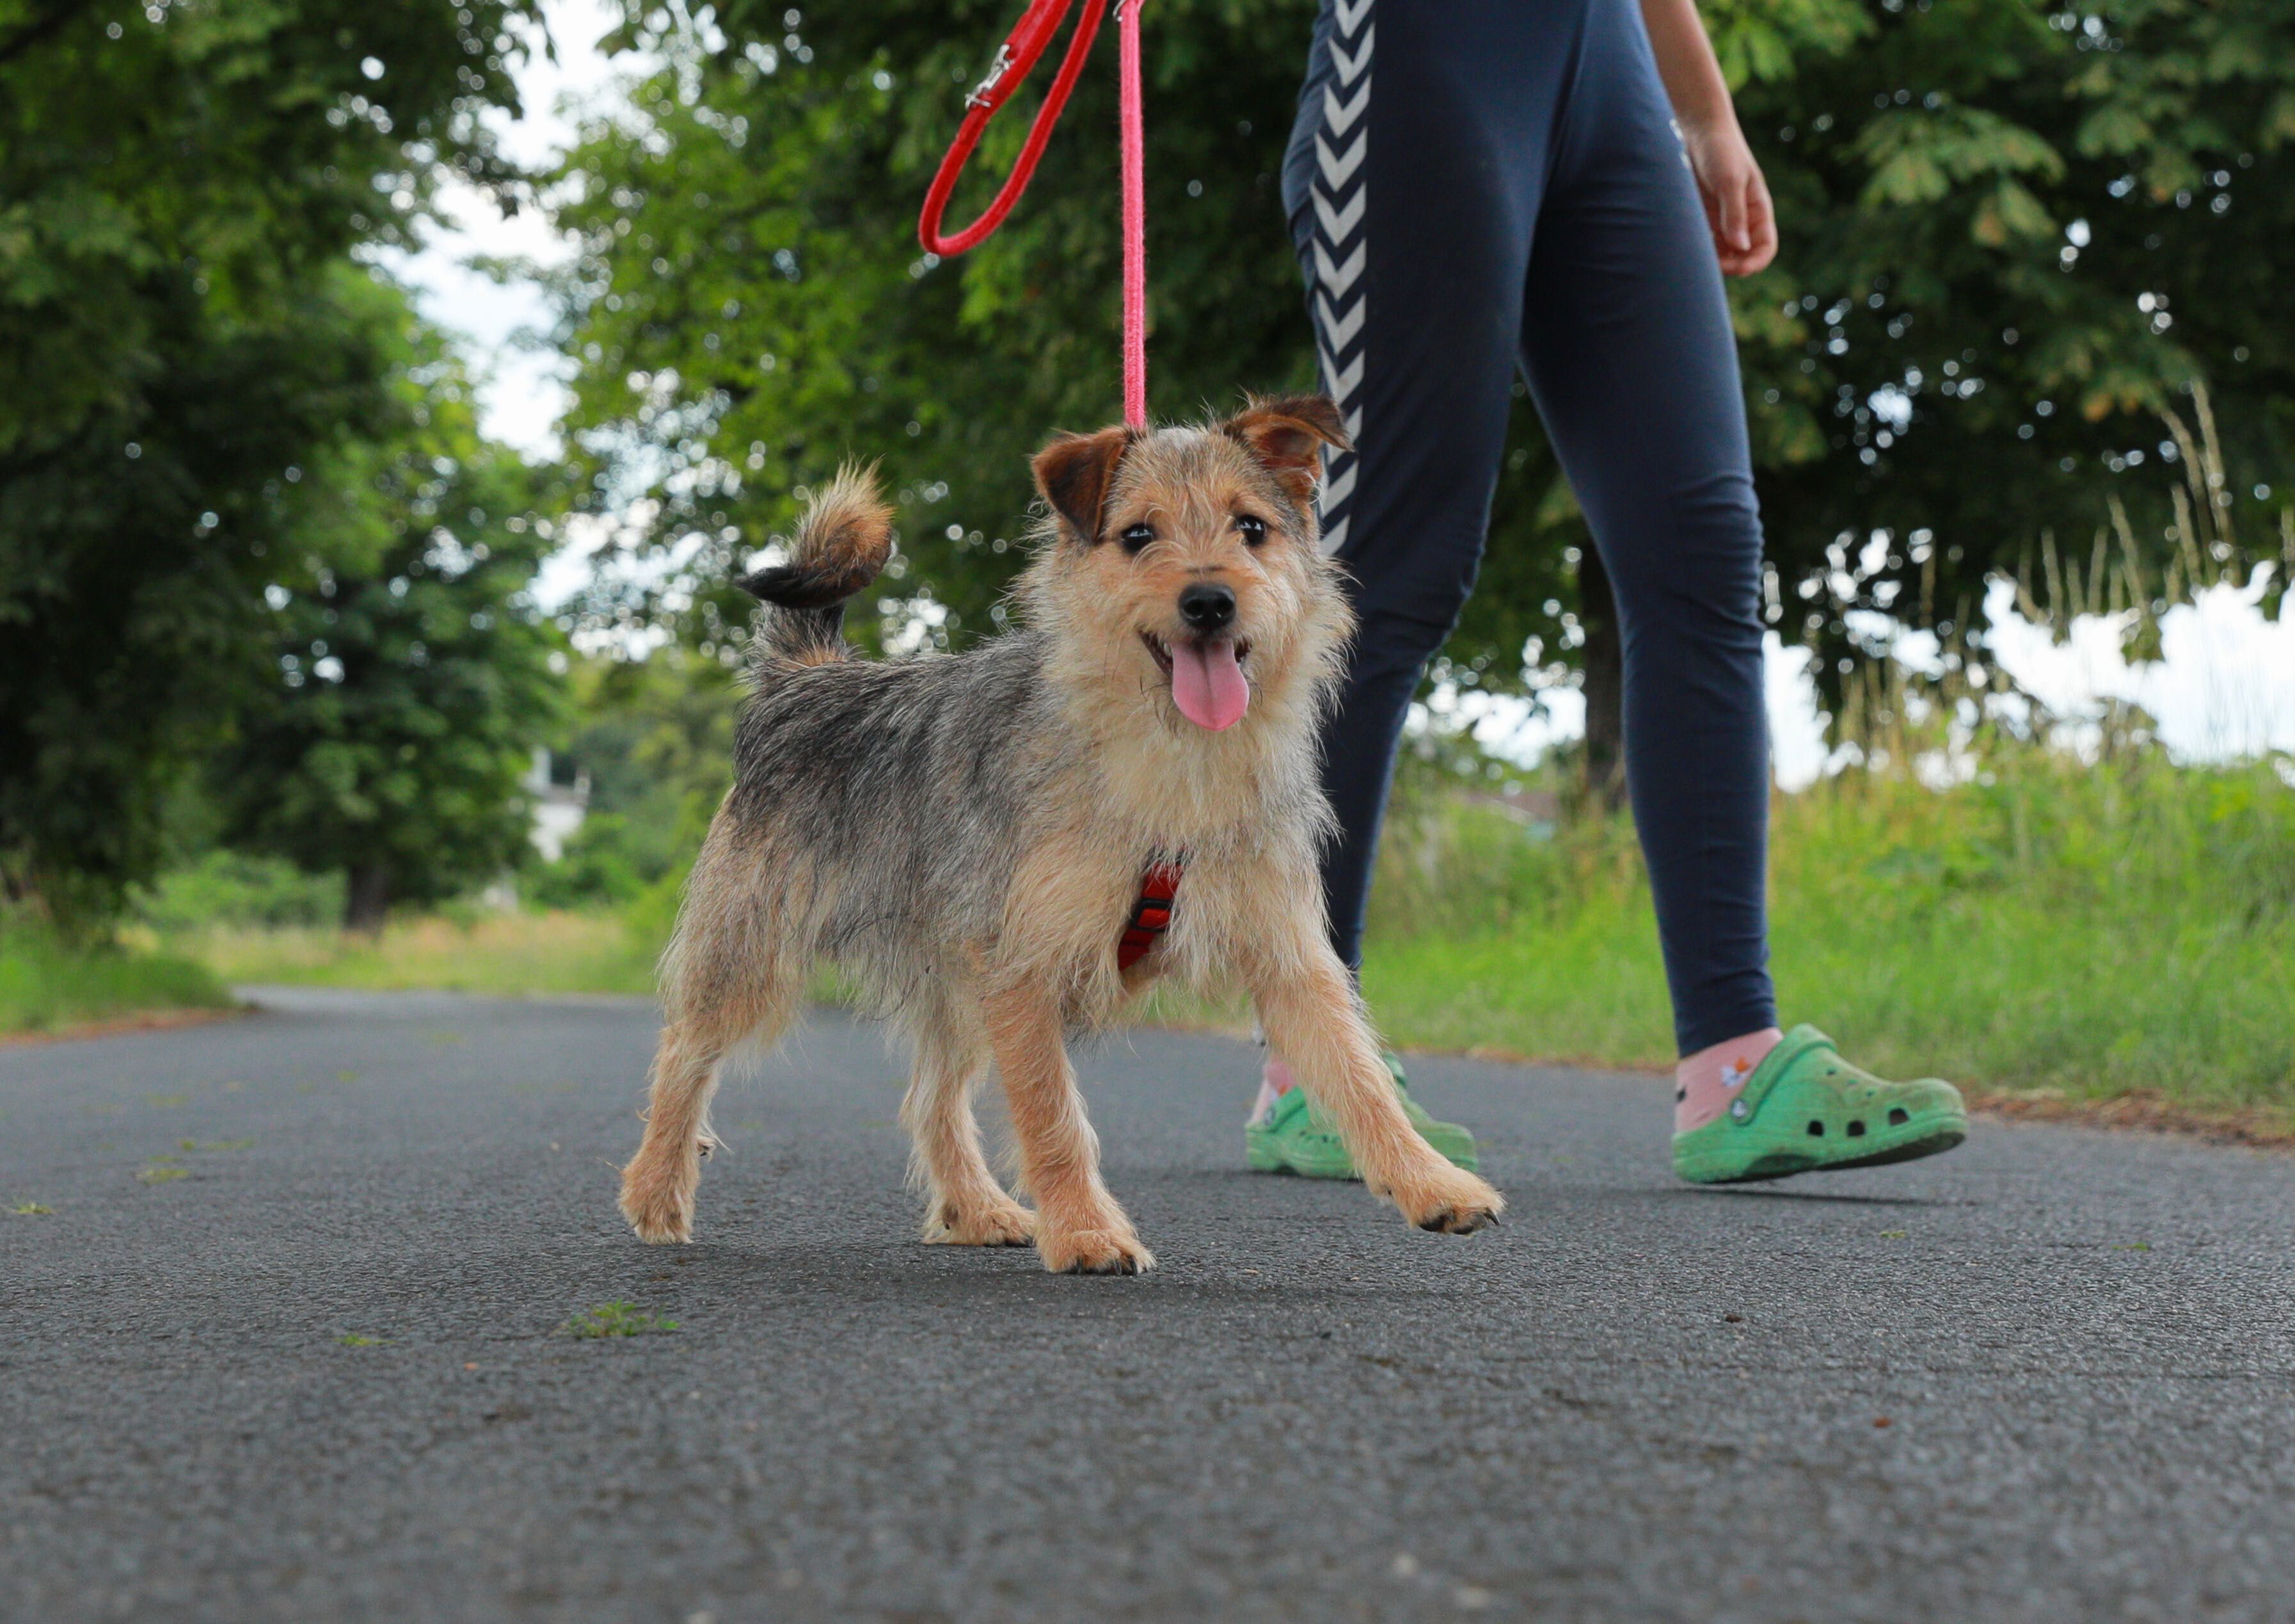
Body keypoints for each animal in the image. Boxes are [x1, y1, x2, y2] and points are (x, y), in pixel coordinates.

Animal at [619, 399, 1505, 1275]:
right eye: (1139, 535)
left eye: (1250, 528)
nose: (1209, 601)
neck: (1174, 760)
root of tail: (802, 680)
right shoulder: (1025, 969)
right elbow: (1052, 1117)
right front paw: (1083, 1231)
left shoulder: (1288, 959)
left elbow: (1360, 1077)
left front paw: (1431, 1181)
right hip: (750, 954)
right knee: (682, 1055)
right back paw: (657, 1192)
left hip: (952, 984)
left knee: (929, 1099)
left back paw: (975, 1210)